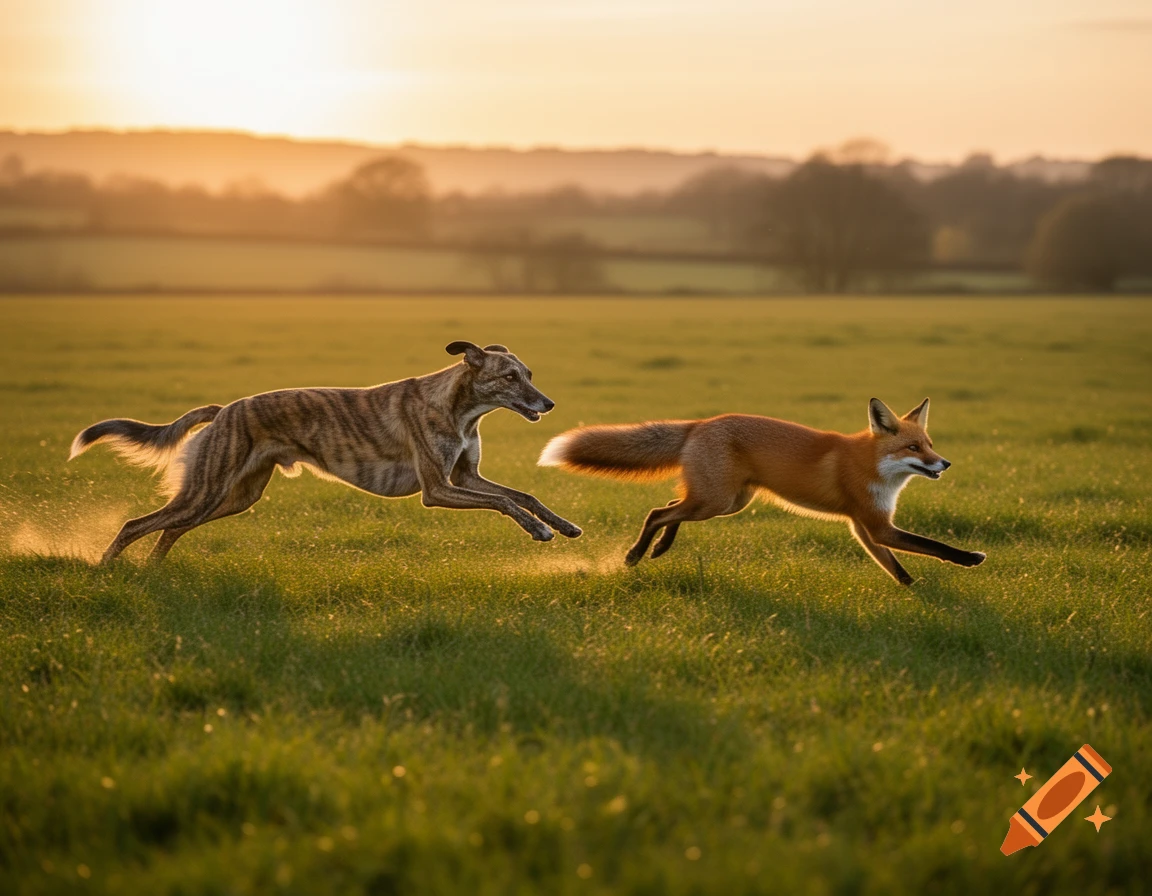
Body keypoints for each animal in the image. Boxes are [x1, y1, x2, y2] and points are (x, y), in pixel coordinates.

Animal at [539, 397, 985, 585]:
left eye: (929, 444)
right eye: (914, 448)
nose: (945, 464)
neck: (872, 466)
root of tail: (701, 423)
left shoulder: (864, 528)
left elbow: (894, 566)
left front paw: (915, 591)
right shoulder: (875, 525)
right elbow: (933, 545)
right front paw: (970, 558)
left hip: (726, 503)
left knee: (668, 506)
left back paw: (661, 548)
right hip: (716, 501)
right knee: (657, 512)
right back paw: (635, 555)